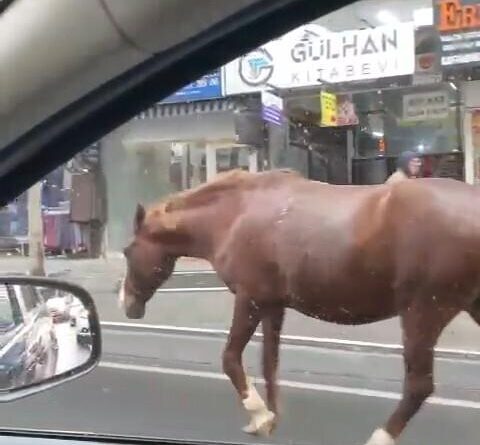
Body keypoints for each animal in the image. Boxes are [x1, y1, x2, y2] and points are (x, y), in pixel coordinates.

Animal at [119, 169, 480, 444]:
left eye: (126, 250)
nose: (126, 303)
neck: (234, 215)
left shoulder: (249, 298)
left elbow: (231, 358)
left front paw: (260, 415)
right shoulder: (272, 305)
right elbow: (270, 364)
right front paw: (270, 418)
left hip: (423, 313)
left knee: (418, 386)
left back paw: (379, 437)